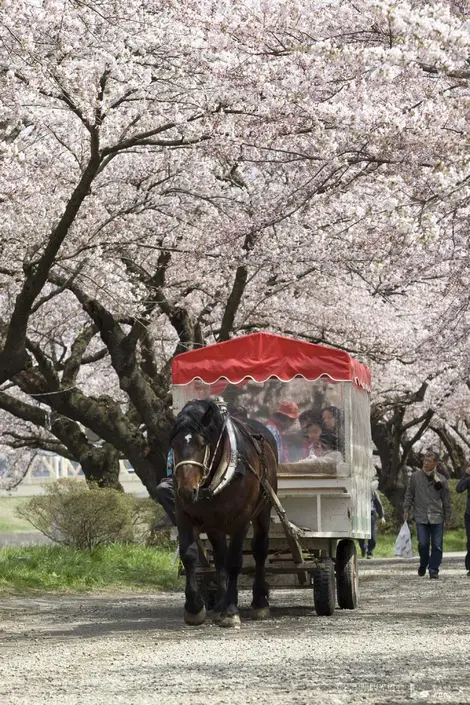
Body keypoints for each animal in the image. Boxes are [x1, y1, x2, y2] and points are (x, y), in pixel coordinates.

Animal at [170, 396, 278, 628]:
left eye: (202, 444)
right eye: (174, 444)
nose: (186, 490)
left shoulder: (241, 520)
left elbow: (235, 561)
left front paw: (230, 611)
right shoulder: (185, 515)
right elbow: (189, 555)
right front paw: (194, 608)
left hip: (264, 509)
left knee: (260, 549)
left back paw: (258, 602)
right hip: (214, 524)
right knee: (219, 557)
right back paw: (220, 603)